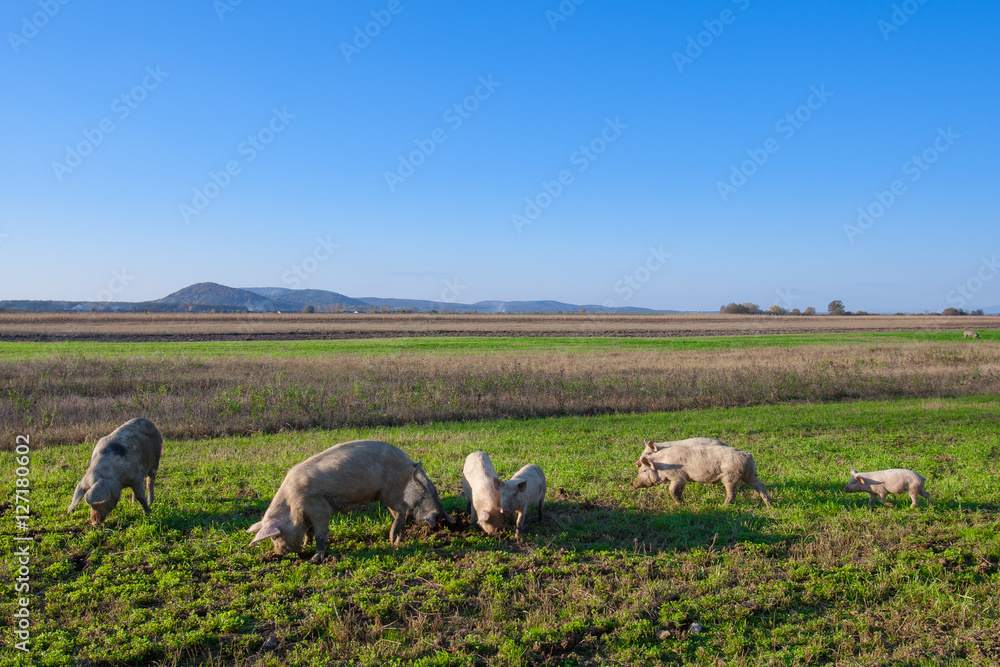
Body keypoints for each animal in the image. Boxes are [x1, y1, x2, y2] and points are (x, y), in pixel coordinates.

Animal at [247, 440, 454, 563]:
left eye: (274, 537)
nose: (278, 554)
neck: (292, 505)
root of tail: (408, 462)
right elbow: (309, 532)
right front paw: (306, 546)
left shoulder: (320, 508)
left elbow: (320, 533)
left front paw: (315, 559)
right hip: (384, 494)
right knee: (398, 511)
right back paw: (394, 540)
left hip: (391, 490)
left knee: (403, 508)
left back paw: (393, 541)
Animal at [632, 443, 772, 508]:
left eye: (643, 471)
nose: (632, 484)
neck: (663, 464)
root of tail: (748, 455)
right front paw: (683, 502)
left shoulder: (679, 477)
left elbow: (672, 490)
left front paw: (682, 503)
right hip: (749, 474)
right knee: (761, 486)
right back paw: (769, 505)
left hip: (730, 477)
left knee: (733, 492)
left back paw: (722, 506)